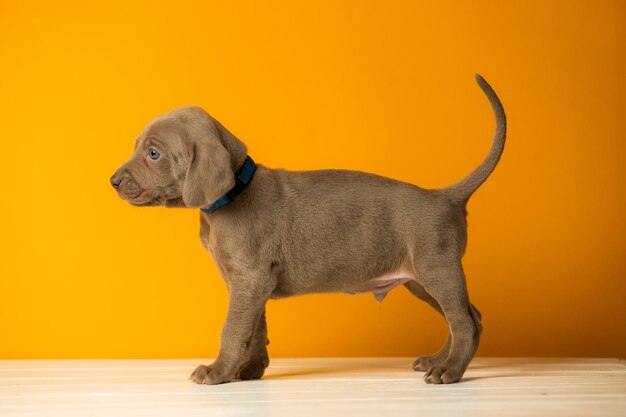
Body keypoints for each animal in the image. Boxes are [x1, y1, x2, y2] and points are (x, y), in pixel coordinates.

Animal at [109, 74, 504, 384]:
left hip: (438, 269)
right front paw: (249, 370)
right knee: (471, 317)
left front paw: (219, 371)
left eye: (153, 153)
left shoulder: (250, 279)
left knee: (464, 322)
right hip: (419, 280)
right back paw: (439, 360)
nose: (112, 181)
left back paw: (449, 371)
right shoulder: (252, 285)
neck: (234, 194)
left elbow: (234, 330)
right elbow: (256, 330)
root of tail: (444, 195)